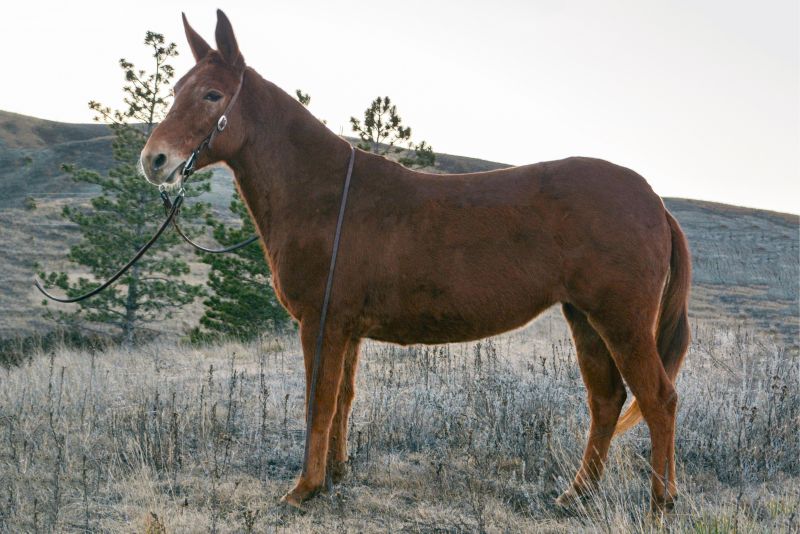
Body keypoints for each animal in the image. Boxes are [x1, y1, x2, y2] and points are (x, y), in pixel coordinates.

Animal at [141, 10, 691, 512]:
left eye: (212, 95)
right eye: (176, 88)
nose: (154, 161)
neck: (325, 194)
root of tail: (655, 202)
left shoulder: (321, 322)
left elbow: (319, 403)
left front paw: (303, 490)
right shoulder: (346, 328)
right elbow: (342, 400)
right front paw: (334, 476)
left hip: (621, 320)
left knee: (658, 400)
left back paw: (660, 502)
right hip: (585, 319)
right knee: (606, 401)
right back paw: (576, 495)